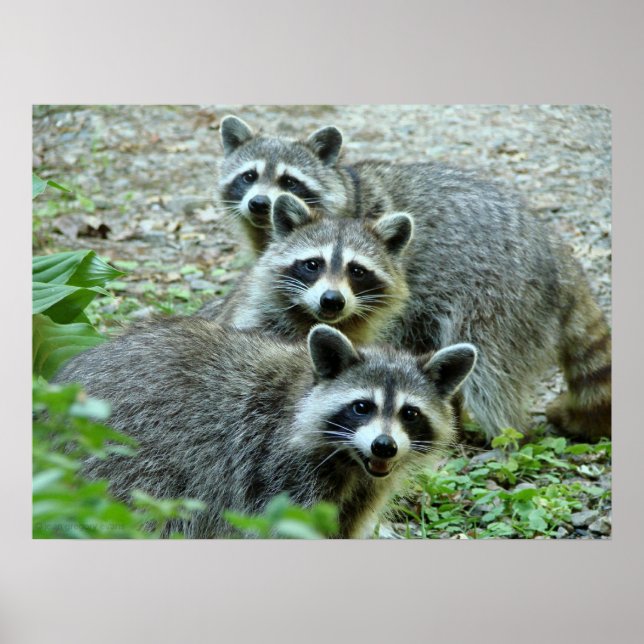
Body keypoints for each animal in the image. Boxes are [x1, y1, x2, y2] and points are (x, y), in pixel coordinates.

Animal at [53, 318, 476, 538]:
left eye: (410, 413)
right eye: (362, 407)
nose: (384, 446)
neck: (350, 462)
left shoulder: (363, 491)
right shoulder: (280, 470)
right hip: (130, 460)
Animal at [205, 192, 611, 442]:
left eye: (357, 270)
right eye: (312, 264)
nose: (332, 301)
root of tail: (559, 255)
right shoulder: (257, 321)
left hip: (501, 302)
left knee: (491, 372)